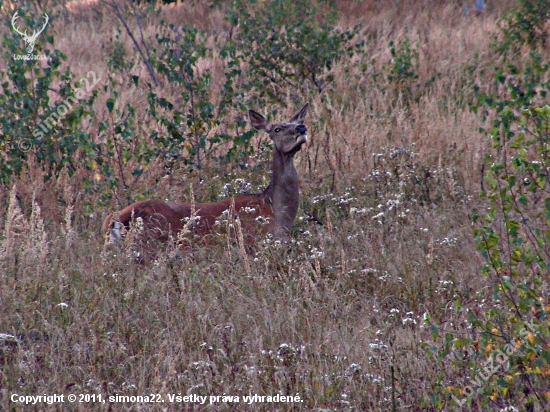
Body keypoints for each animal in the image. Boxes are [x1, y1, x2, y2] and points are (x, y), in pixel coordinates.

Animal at [103, 103, 310, 251]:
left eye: (296, 123)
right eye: (277, 129)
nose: (301, 128)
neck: (275, 211)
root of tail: (113, 220)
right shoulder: (253, 243)